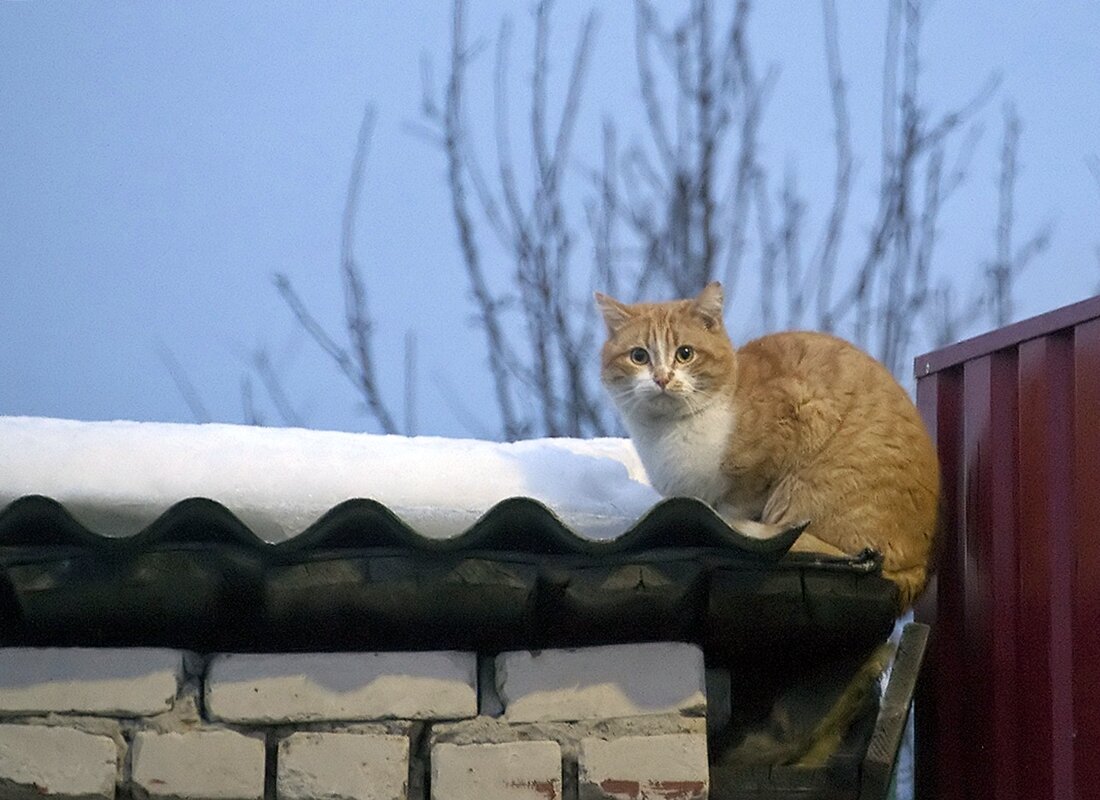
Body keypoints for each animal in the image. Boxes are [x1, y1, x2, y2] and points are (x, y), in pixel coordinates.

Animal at [598, 283, 941, 611]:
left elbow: (737, 502)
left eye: (685, 354)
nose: (662, 378)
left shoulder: (792, 420)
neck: (668, 432)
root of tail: (918, 568)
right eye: (639, 356)